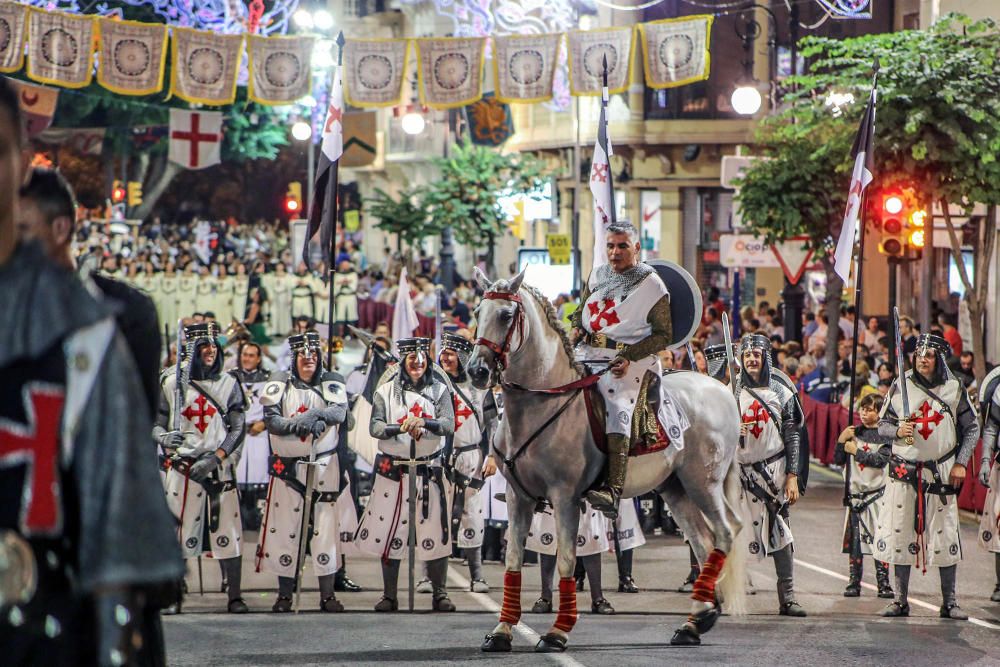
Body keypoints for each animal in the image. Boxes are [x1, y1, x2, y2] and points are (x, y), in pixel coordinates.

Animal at [468, 270, 744, 652]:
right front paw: (502, 631)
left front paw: (557, 632)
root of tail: (720, 389)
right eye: (478, 312)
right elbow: (512, 561)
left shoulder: (565, 498)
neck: (544, 401)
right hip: (675, 488)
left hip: (703, 482)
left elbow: (567, 561)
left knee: (726, 532)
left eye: (507, 316)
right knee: (703, 541)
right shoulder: (517, 497)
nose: (477, 371)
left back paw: (700, 614)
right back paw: (696, 620)